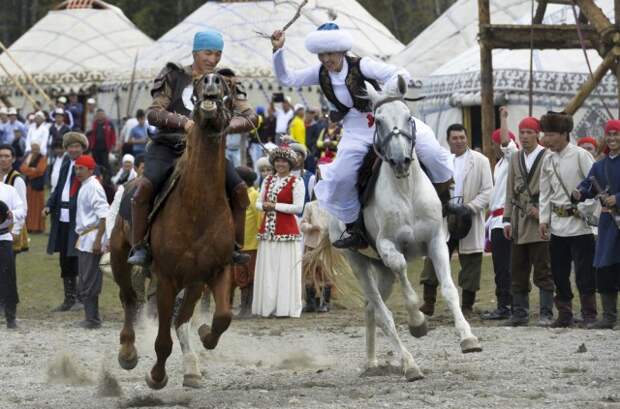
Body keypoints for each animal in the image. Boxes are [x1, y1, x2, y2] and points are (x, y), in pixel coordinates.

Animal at [110, 73, 236, 388]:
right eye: (200, 84)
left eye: (226, 87)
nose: (212, 80)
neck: (198, 207)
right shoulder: (167, 278)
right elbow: (162, 341)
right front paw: (156, 375)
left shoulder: (216, 271)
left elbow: (222, 317)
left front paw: (206, 336)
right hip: (120, 259)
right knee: (129, 299)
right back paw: (128, 351)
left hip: (193, 282)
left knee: (180, 319)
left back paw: (191, 366)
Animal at [330, 75, 480, 380]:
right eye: (377, 121)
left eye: (408, 116)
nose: (401, 161)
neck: (406, 189)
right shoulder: (388, 247)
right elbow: (404, 274)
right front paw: (418, 322)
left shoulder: (436, 241)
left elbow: (449, 289)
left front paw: (468, 338)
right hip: (360, 263)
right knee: (382, 312)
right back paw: (409, 365)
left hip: (382, 272)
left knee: (372, 309)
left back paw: (373, 362)